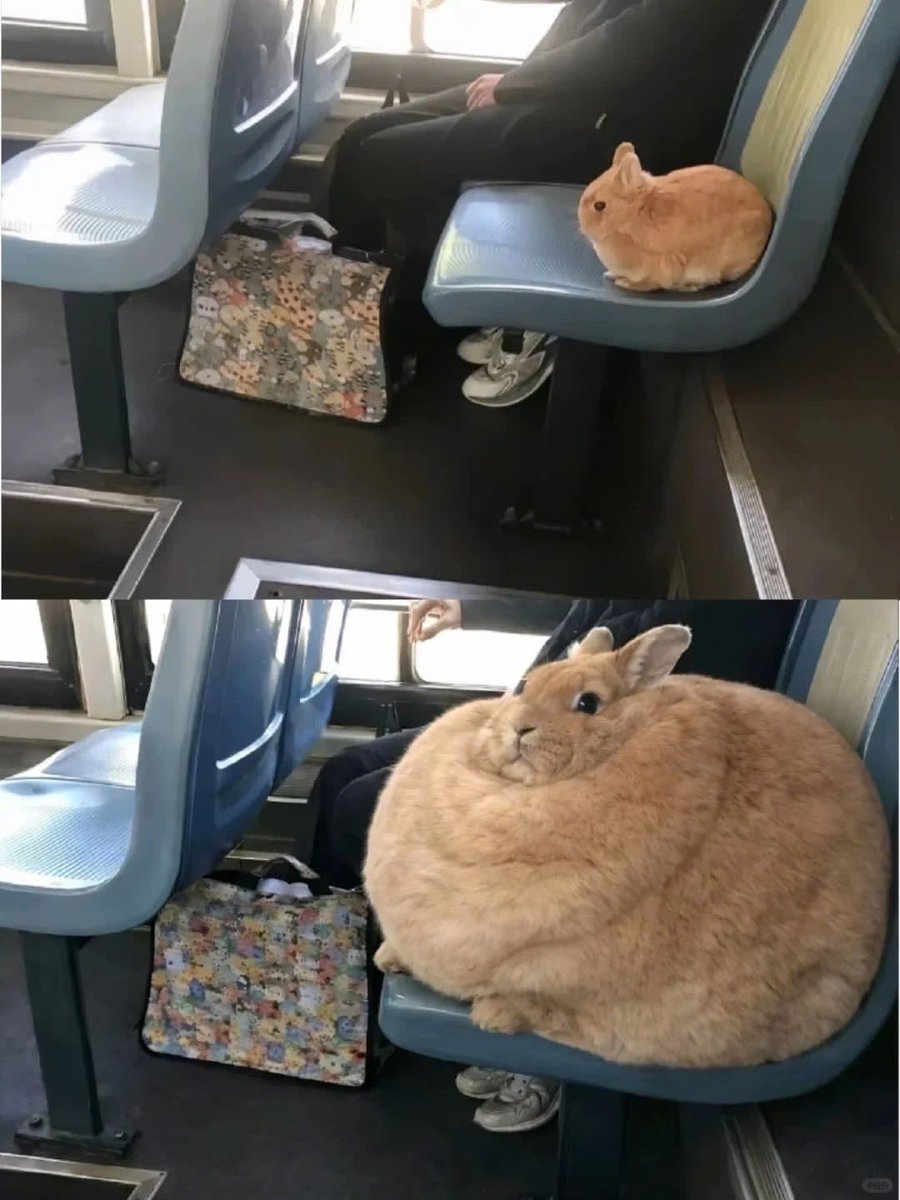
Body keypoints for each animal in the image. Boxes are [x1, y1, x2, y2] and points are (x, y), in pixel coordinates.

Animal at [578, 142, 773, 293]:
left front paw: (625, 283)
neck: (630, 217)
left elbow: (652, 283)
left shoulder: (661, 265)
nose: (583, 228)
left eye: (599, 206)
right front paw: (611, 275)